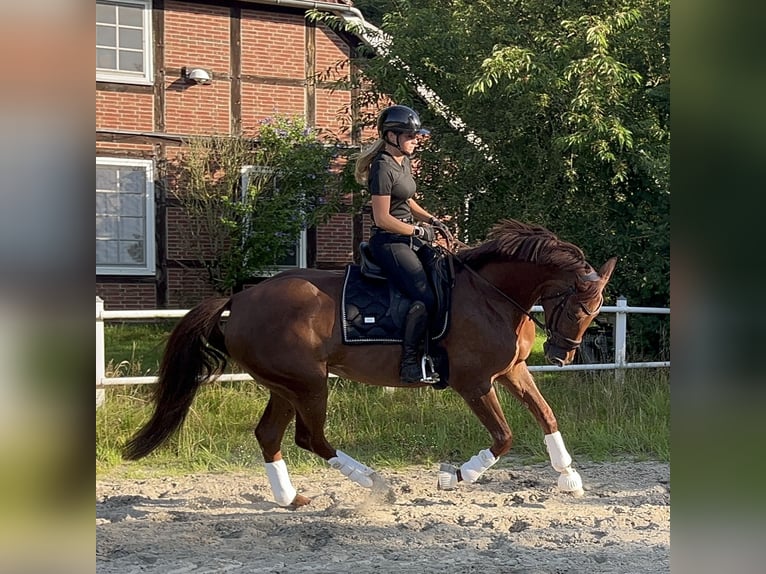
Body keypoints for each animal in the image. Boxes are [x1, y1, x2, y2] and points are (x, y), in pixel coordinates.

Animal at [126, 219, 616, 508]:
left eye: (595, 310)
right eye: (577, 306)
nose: (561, 355)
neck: (490, 295)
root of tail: (240, 300)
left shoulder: (513, 371)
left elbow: (546, 416)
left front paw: (568, 477)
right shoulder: (474, 383)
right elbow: (504, 437)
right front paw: (457, 475)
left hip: (285, 385)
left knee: (270, 435)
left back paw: (290, 498)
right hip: (309, 383)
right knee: (310, 437)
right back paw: (375, 483)